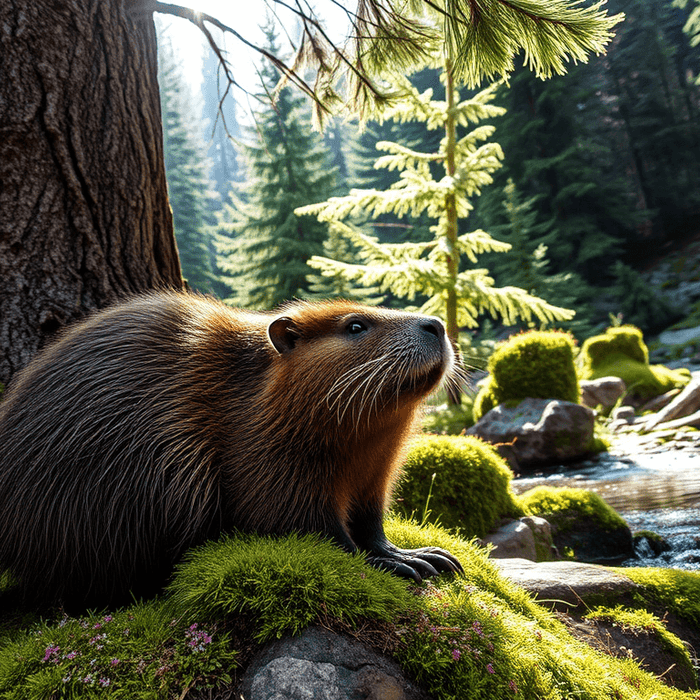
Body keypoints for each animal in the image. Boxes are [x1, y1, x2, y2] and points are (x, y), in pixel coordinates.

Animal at [0, 290, 462, 608]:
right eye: (355, 326)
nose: (436, 325)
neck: (254, 389)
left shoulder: (375, 474)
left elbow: (370, 524)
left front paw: (425, 556)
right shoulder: (265, 456)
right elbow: (306, 528)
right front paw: (398, 566)